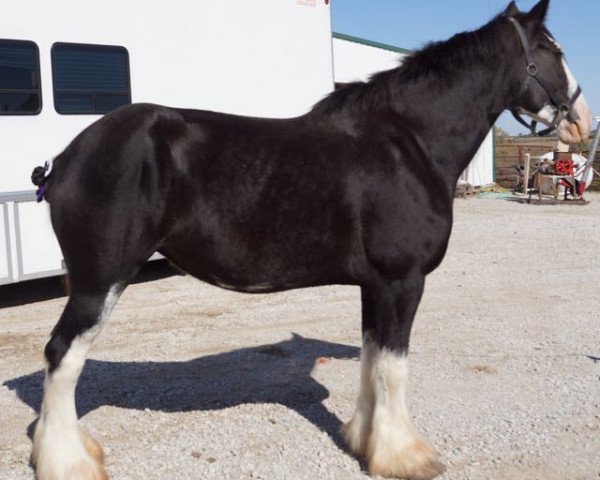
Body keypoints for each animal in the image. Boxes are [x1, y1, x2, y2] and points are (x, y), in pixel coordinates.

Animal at [28, 1, 592, 478]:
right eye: (552, 50)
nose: (582, 122)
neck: (406, 143)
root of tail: (66, 157)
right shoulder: (401, 281)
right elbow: (394, 368)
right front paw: (406, 457)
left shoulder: (375, 286)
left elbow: (371, 358)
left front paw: (364, 442)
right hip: (100, 280)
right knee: (62, 356)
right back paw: (68, 462)